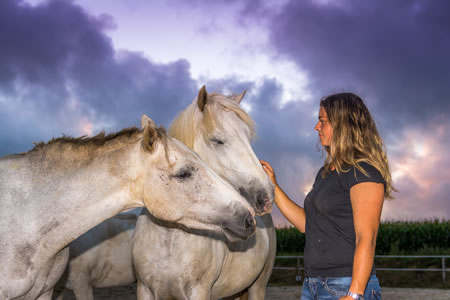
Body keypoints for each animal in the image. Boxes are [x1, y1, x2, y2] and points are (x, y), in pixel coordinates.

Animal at [132, 85, 276, 298]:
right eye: (217, 140)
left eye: (248, 138)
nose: (267, 195)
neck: (169, 237)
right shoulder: (144, 290)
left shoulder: (199, 291)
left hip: (258, 287)